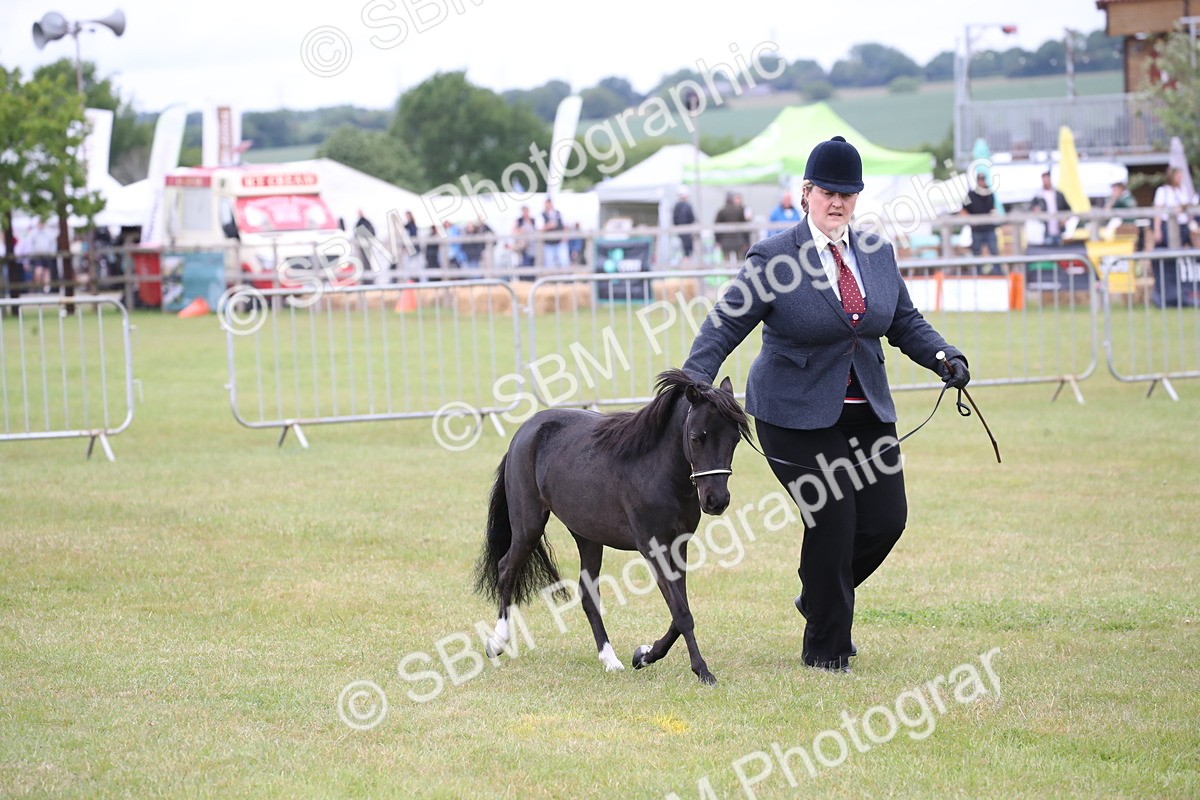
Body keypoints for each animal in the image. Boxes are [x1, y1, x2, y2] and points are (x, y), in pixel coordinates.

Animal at [474, 369, 751, 685]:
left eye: (735, 439)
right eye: (696, 438)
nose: (717, 500)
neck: (656, 470)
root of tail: (525, 431)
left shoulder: (678, 546)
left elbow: (680, 611)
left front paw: (644, 655)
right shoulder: (653, 548)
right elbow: (681, 612)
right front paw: (702, 671)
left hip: (587, 536)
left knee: (587, 594)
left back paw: (610, 659)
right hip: (528, 525)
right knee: (506, 568)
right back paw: (497, 643)